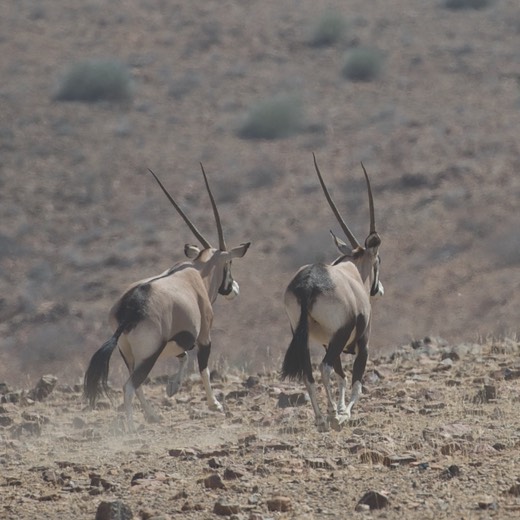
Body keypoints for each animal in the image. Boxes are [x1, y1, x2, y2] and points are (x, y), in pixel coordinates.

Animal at [84, 165, 251, 428]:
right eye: (230, 263)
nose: (234, 288)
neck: (198, 272)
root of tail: (130, 309)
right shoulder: (203, 335)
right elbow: (202, 367)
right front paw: (214, 404)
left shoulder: (178, 340)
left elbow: (184, 357)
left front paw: (172, 387)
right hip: (149, 354)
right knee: (130, 386)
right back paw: (131, 426)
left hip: (129, 354)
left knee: (136, 384)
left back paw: (151, 415)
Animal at [282, 153, 384, 430]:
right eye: (378, 261)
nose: (378, 289)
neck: (352, 271)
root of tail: (308, 284)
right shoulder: (362, 342)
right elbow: (355, 382)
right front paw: (344, 412)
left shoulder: (328, 341)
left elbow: (342, 377)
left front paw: (338, 410)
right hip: (340, 334)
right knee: (324, 368)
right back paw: (331, 416)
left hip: (305, 335)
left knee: (309, 372)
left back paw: (320, 419)